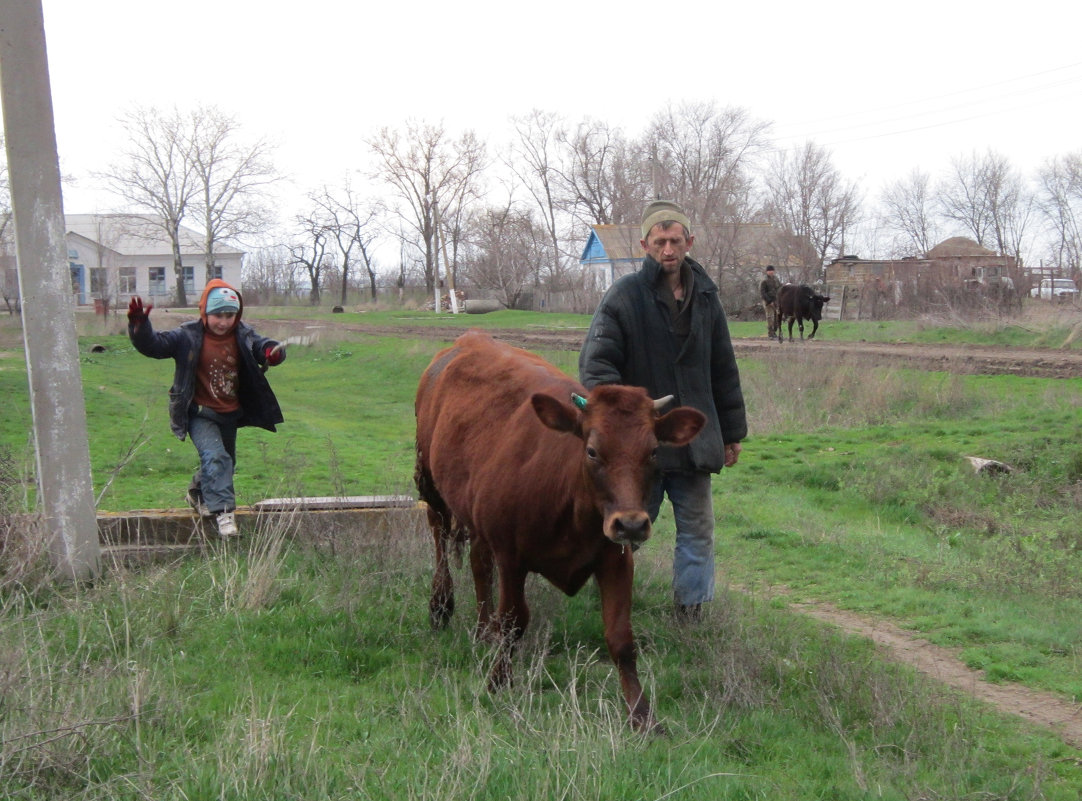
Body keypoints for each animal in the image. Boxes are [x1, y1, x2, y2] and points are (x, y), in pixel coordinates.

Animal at [408, 329, 705, 727]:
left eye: (654, 451)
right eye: (592, 451)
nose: (631, 523)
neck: (571, 502)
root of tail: (469, 338)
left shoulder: (616, 558)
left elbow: (621, 637)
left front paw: (641, 714)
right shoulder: (511, 556)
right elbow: (514, 622)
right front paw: (498, 683)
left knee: (478, 564)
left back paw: (483, 631)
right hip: (431, 482)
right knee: (439, 536)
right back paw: (441, 606)